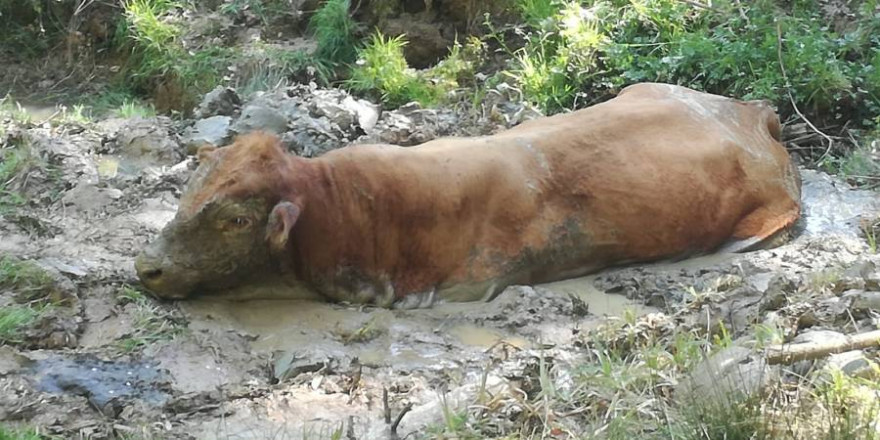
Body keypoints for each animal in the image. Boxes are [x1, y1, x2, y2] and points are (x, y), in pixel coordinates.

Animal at [134, 84, 800, 308]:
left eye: (234, 220)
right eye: (187, 190)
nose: (148, 267)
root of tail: (750, 110)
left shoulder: (470, 283)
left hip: (769, 205)